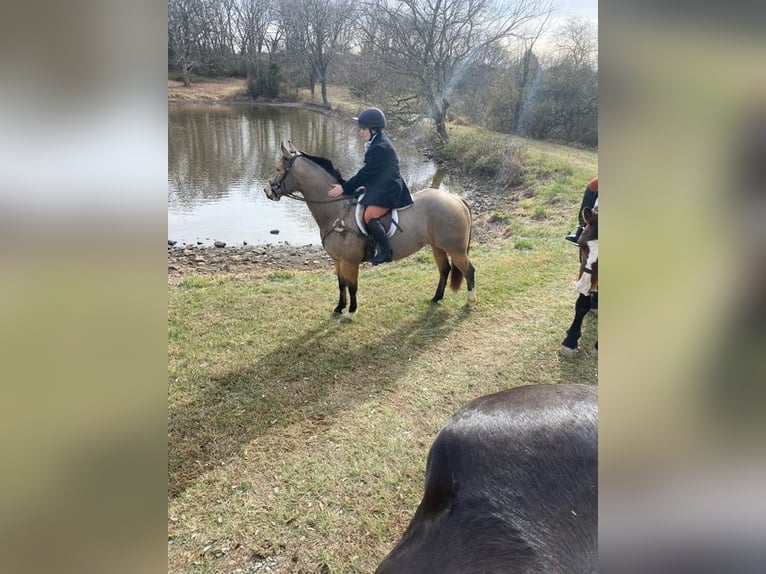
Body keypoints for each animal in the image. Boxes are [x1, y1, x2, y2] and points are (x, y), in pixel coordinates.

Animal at [268, 143, 476, 324]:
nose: (267, 191)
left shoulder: (349, 262)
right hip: (437, 246)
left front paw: (350, 312)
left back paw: (470, 301)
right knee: (444, 270)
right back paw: (436, 298)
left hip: (456, 250)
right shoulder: (337, 260)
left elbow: (352, 286)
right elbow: (341, 284)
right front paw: (339, 308)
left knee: (468, 271)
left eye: (278, 169)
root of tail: (456, 199)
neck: (337, 210)